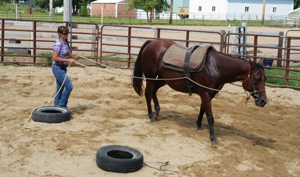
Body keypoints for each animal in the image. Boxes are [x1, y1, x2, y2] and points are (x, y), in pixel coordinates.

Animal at [132, 39, 268, 143]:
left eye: (265, 79)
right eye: (256, 79)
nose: (263, 101)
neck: (215, 66)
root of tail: (151, 43)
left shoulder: (209, 94)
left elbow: (203, 110)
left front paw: (199, 125)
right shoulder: (205, 94)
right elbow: (210, 116)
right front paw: (213, 138)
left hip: (163, 79)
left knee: (154, 92)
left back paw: (157, 111)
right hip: (150, 77)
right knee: (148, 94)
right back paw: (151, 116)